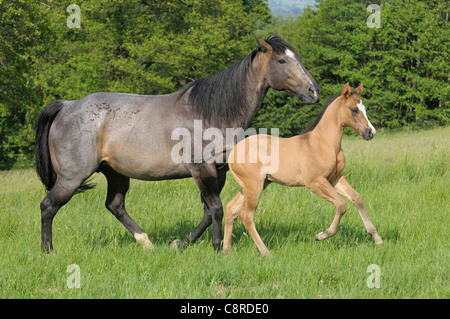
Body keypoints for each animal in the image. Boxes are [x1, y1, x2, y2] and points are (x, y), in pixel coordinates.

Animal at [35, 33, 320, 252]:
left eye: (298, 58)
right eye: (282, 60)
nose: (314, 91)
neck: (211, 113)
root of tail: (67, 106)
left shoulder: (218, 171)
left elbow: (208, 212)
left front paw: (181, 243)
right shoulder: (201, 168)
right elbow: (216, 209)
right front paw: (216, 247)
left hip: (116, 173)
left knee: (114, 206)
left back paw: (146, 242)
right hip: (72, 177)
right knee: (48, 206)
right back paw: (48, 251)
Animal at [223, 84, 382, 256]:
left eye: (364, 108)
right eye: (354, 109)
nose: (370, 132)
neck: (325, 143)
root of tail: (233, 151)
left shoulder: (335, 178)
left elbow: (357, 199)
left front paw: (376, 238)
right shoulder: (314, 182)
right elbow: (341, 205)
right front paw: (322, 235)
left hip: (254, 185)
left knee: (231, 209)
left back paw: (226, 251)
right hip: (254, 186)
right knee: (246, 215)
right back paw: (266, 253)